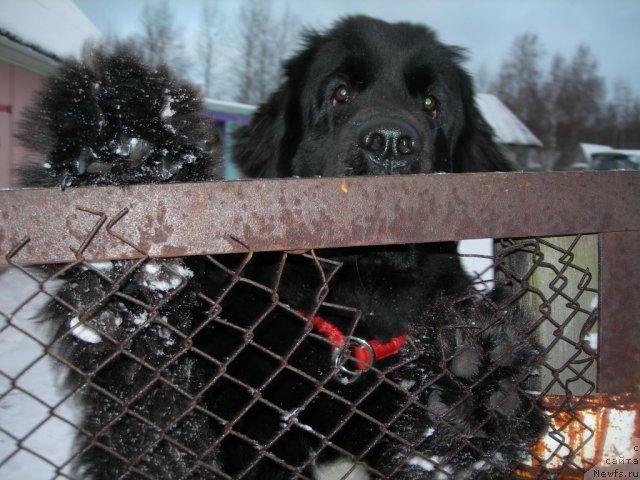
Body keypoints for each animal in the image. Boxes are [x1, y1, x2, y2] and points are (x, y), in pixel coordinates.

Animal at [17, 15, 544, 480]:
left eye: (432, 103)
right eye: (339, 93)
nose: (391, 143)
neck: (358, 324)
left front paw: (477, 394)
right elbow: (156, 420)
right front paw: (129, 163)